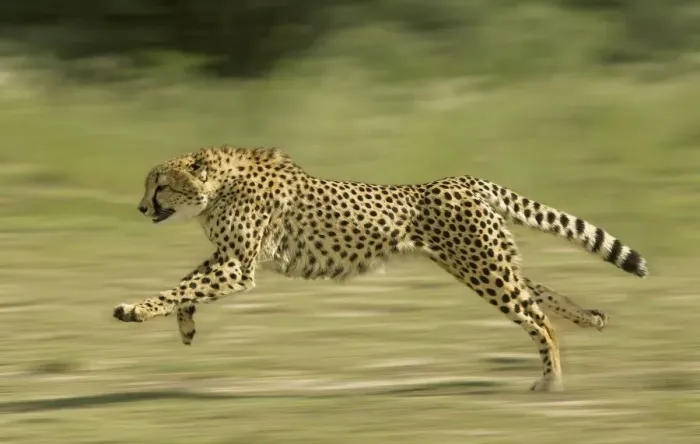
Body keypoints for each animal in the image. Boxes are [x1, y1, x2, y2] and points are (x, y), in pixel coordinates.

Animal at [113, 145, 648, 392]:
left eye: (159, 185)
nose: (139, 208)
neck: (217, 187)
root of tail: (464, 178)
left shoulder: (237, 265)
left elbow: (181, 287)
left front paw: (135, 309)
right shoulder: (229, 258)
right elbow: (187, 285)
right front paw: (184, 325)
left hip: (483, 268)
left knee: (537, 318)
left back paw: (551, 381)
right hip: (485, 261)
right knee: (539, 292)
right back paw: (591, 317)